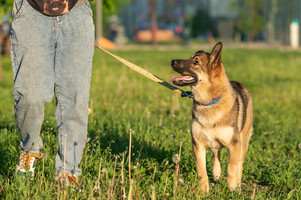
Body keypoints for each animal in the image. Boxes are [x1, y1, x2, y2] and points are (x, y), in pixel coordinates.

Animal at [170, 41, 252, 192]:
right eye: (190, 58)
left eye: (195, 62)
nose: (172, 61)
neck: (208, 103)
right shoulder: (198, 144)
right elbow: (202, 171)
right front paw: (203, 192)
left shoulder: (234, 144)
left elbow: (232, 168)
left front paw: (232, 190)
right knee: (215, 156)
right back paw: (217, 174)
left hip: (244, 141)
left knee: (240, 164)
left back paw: (237, 184)